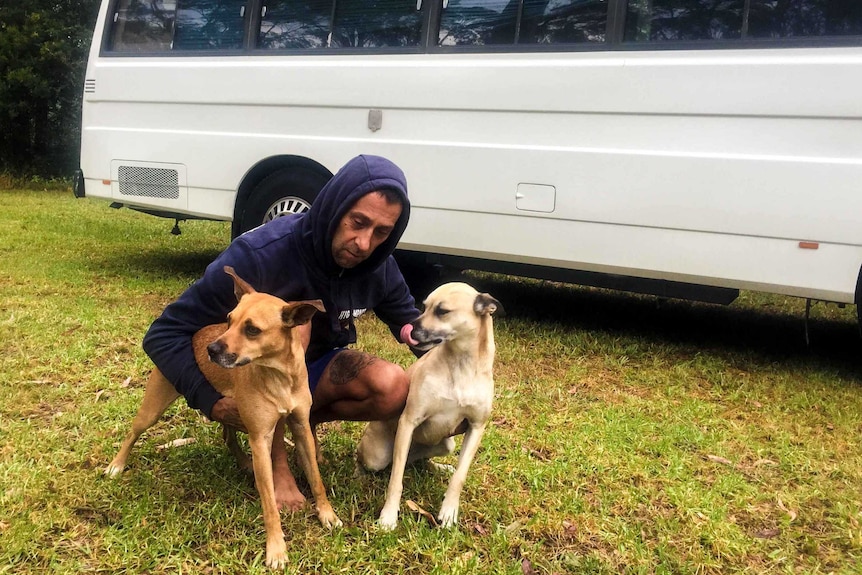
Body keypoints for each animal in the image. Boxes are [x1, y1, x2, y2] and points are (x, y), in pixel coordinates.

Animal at [104, 266, 340, 572]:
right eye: (229, 320)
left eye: (252, 329)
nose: (211, 350)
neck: (279, 376)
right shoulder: (260, 439)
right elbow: (269, 504)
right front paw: (276, 548)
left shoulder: (301, 429)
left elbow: (316, 478)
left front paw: (327, 514)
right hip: (153, 409)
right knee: (133, 432)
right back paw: (117, 464)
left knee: (227, 436)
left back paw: (243, 462)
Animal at [358, 282, 502, 528]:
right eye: (424, 307)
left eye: (442, 311)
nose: (409, 328)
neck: (461, 365)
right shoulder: (409, 421)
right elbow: (396, 479)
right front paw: (389, 516)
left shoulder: (476, 427)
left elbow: (459, 477)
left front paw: (449, 512)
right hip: (376, 456)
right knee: (394, 462)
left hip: (447, 445)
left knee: (418, 460)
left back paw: (439, 467)